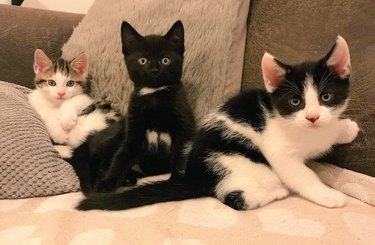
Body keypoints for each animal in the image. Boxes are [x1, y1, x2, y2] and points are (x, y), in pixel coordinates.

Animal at [78, 36, 360, 211]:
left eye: (326, 97)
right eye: (295, 101)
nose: (312, 117)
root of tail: (193, 174)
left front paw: (345, 128)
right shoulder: (279, 152)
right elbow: (301, 174)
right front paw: (328, 195)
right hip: (241, 163)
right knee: (233, 197)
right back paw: (274, 193)